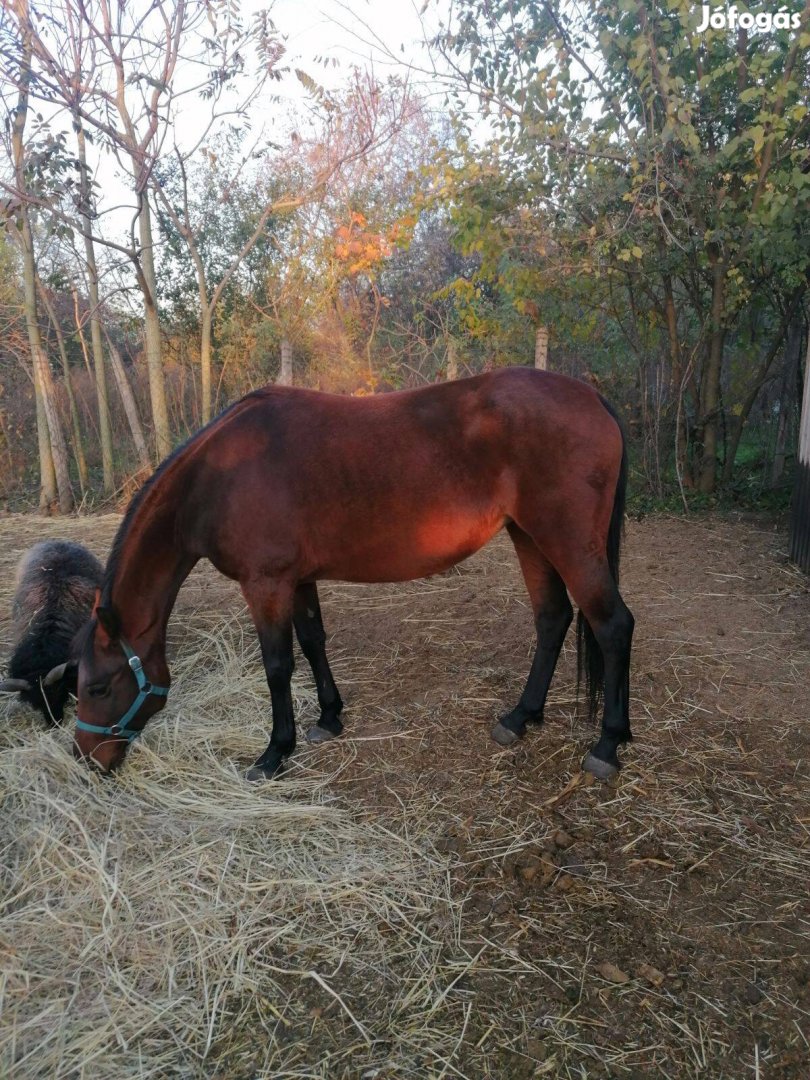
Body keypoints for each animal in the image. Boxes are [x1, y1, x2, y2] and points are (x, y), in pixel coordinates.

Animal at [71, 367, 635, 781]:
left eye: (97, 687)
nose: (86, 759)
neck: (218, 478)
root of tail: (591, 396)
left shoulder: (266, 584)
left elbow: (277, 666)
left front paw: (274, 753)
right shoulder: (297, 580)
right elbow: (313, 642)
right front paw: (328, 718)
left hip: (566, 543)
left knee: (613, 626)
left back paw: (607, 744)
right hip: (529, 537)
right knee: (553, 618)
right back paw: (520, 718)